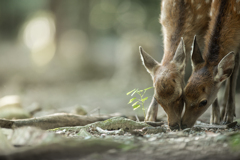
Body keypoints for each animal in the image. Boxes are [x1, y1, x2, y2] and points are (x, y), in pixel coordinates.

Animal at [182, 0, 240, 128]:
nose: (183, 124)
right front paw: (215, 118)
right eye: (184, 94)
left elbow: (234, 70)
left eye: (203, 102)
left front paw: (228, 117)